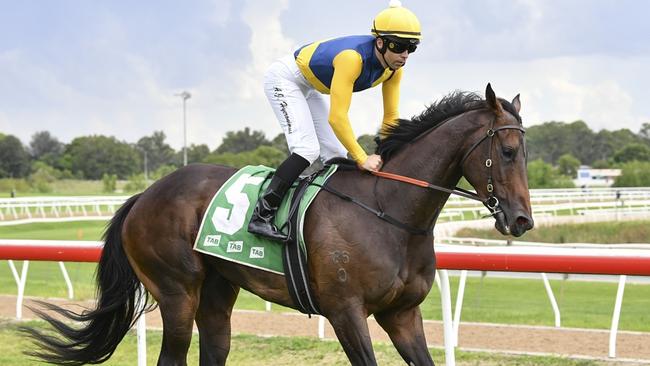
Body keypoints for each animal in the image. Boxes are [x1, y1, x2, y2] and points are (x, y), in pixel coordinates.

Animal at [24, 84, 532, 364]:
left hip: (217, 291)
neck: (390, 211)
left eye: (527, 152)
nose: (522, 220)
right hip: (176, 292)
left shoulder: (402, 314)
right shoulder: (346, 312)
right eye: (508, 152)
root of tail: (142, 197)